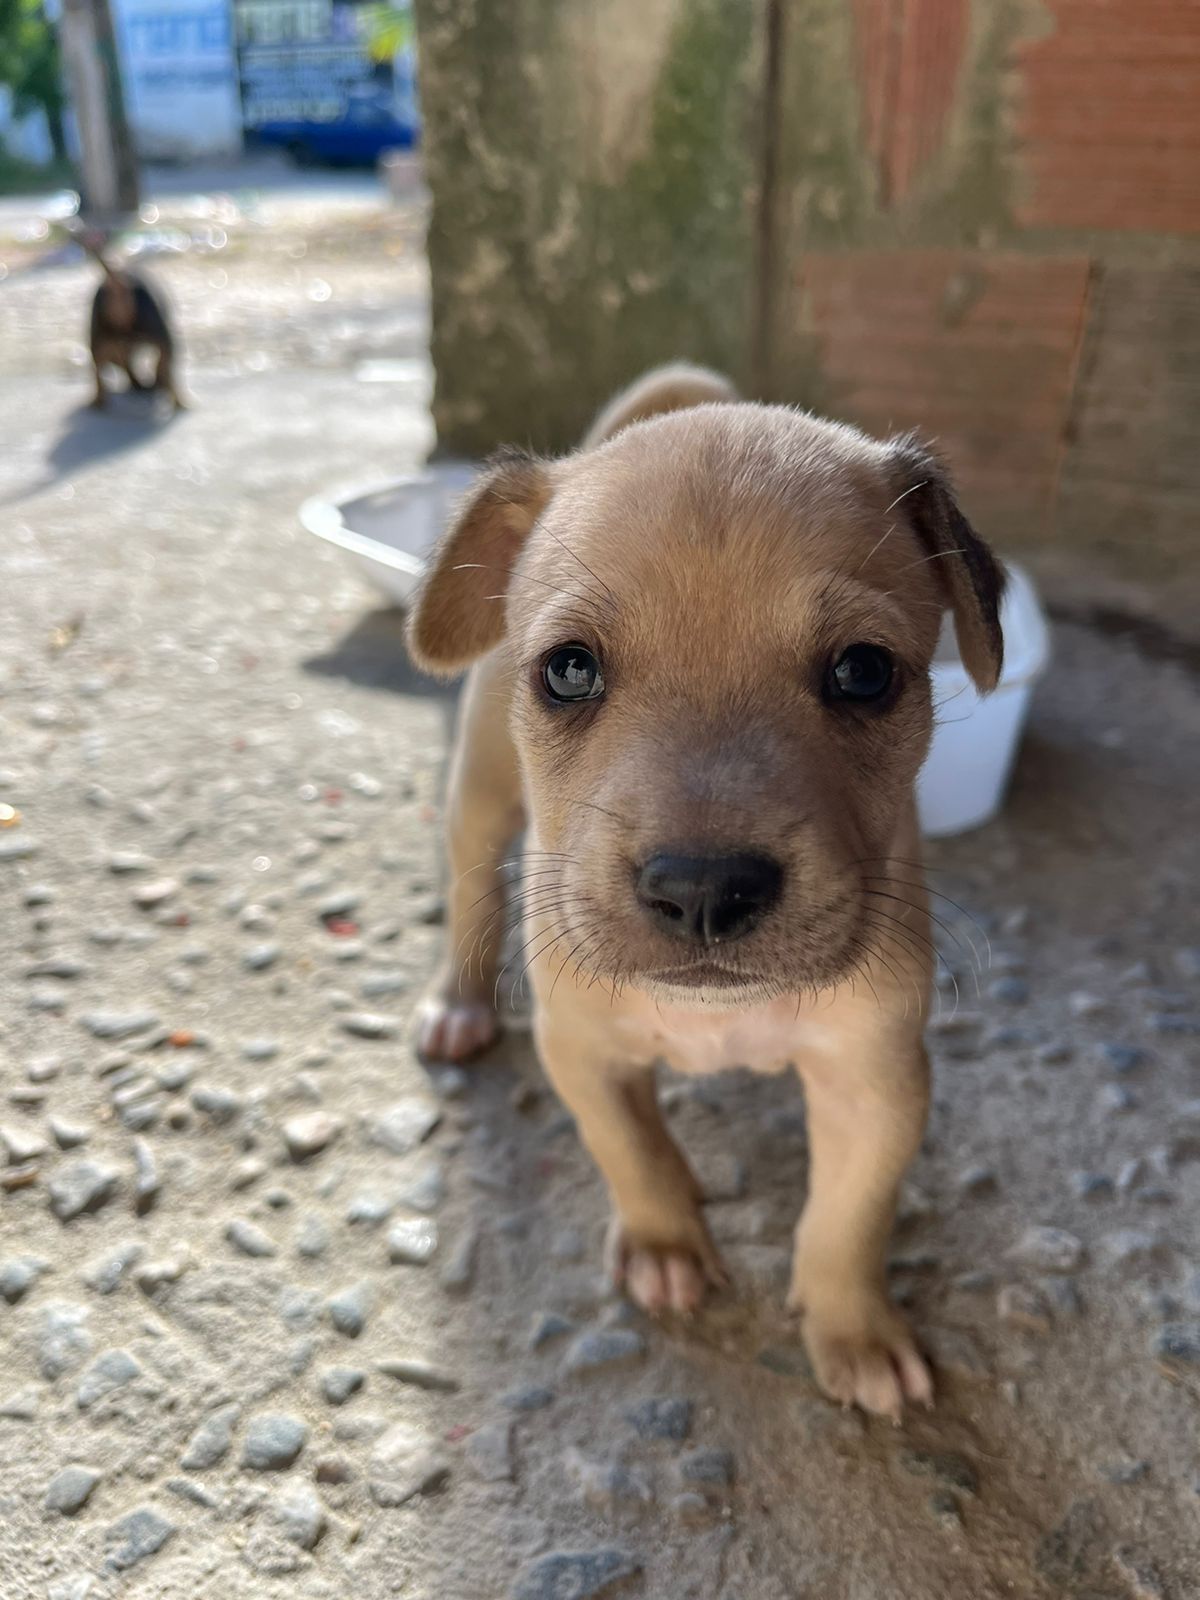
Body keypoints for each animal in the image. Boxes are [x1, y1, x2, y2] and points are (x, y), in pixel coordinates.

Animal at [80, 233, 184, 416]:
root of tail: (119, 279)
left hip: (99, 337)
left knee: (98, 369)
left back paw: (99, 403)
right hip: (161, 333)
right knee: (168, 367)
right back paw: (178, 402)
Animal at [409, 368, 1011, 1420]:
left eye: (864, 672)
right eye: (569, 669)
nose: (702, 890)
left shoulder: (877, 1084)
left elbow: (847, 1219)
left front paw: (853, 1330)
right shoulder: (584, 1050)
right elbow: (633, 1152)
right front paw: (664, 1243)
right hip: (478, 797)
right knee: (471, 892)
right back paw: (458, 1002)